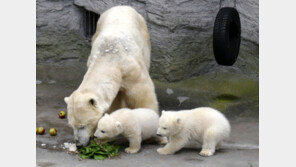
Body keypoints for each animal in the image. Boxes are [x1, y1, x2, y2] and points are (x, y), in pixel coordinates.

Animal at [63, 5, 158, 146]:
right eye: (71, 125)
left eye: (83, 125)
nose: (79, 144)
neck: (110, 57)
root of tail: (122, 6)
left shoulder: (131, 70)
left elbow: (142, 94)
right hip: (97, 27)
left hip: (144, 37)